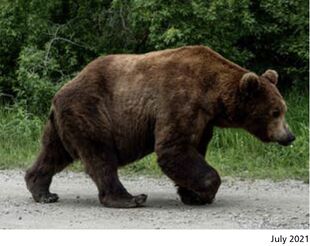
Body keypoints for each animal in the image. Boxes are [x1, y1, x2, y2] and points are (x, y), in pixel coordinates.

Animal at [24, 45, 296, 208]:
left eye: (283, 109)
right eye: (275, 112)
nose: (290, 135)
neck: (211, 93)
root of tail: (59, 93)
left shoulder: (203, 120)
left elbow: (193, 150)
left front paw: (190, 194)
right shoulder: (179, 100)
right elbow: (172, 149)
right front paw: (205, 192)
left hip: (62, 123)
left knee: (53, 153)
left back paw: (42, 191)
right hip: (91, 112)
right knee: (100, 156)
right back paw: (130, 198)